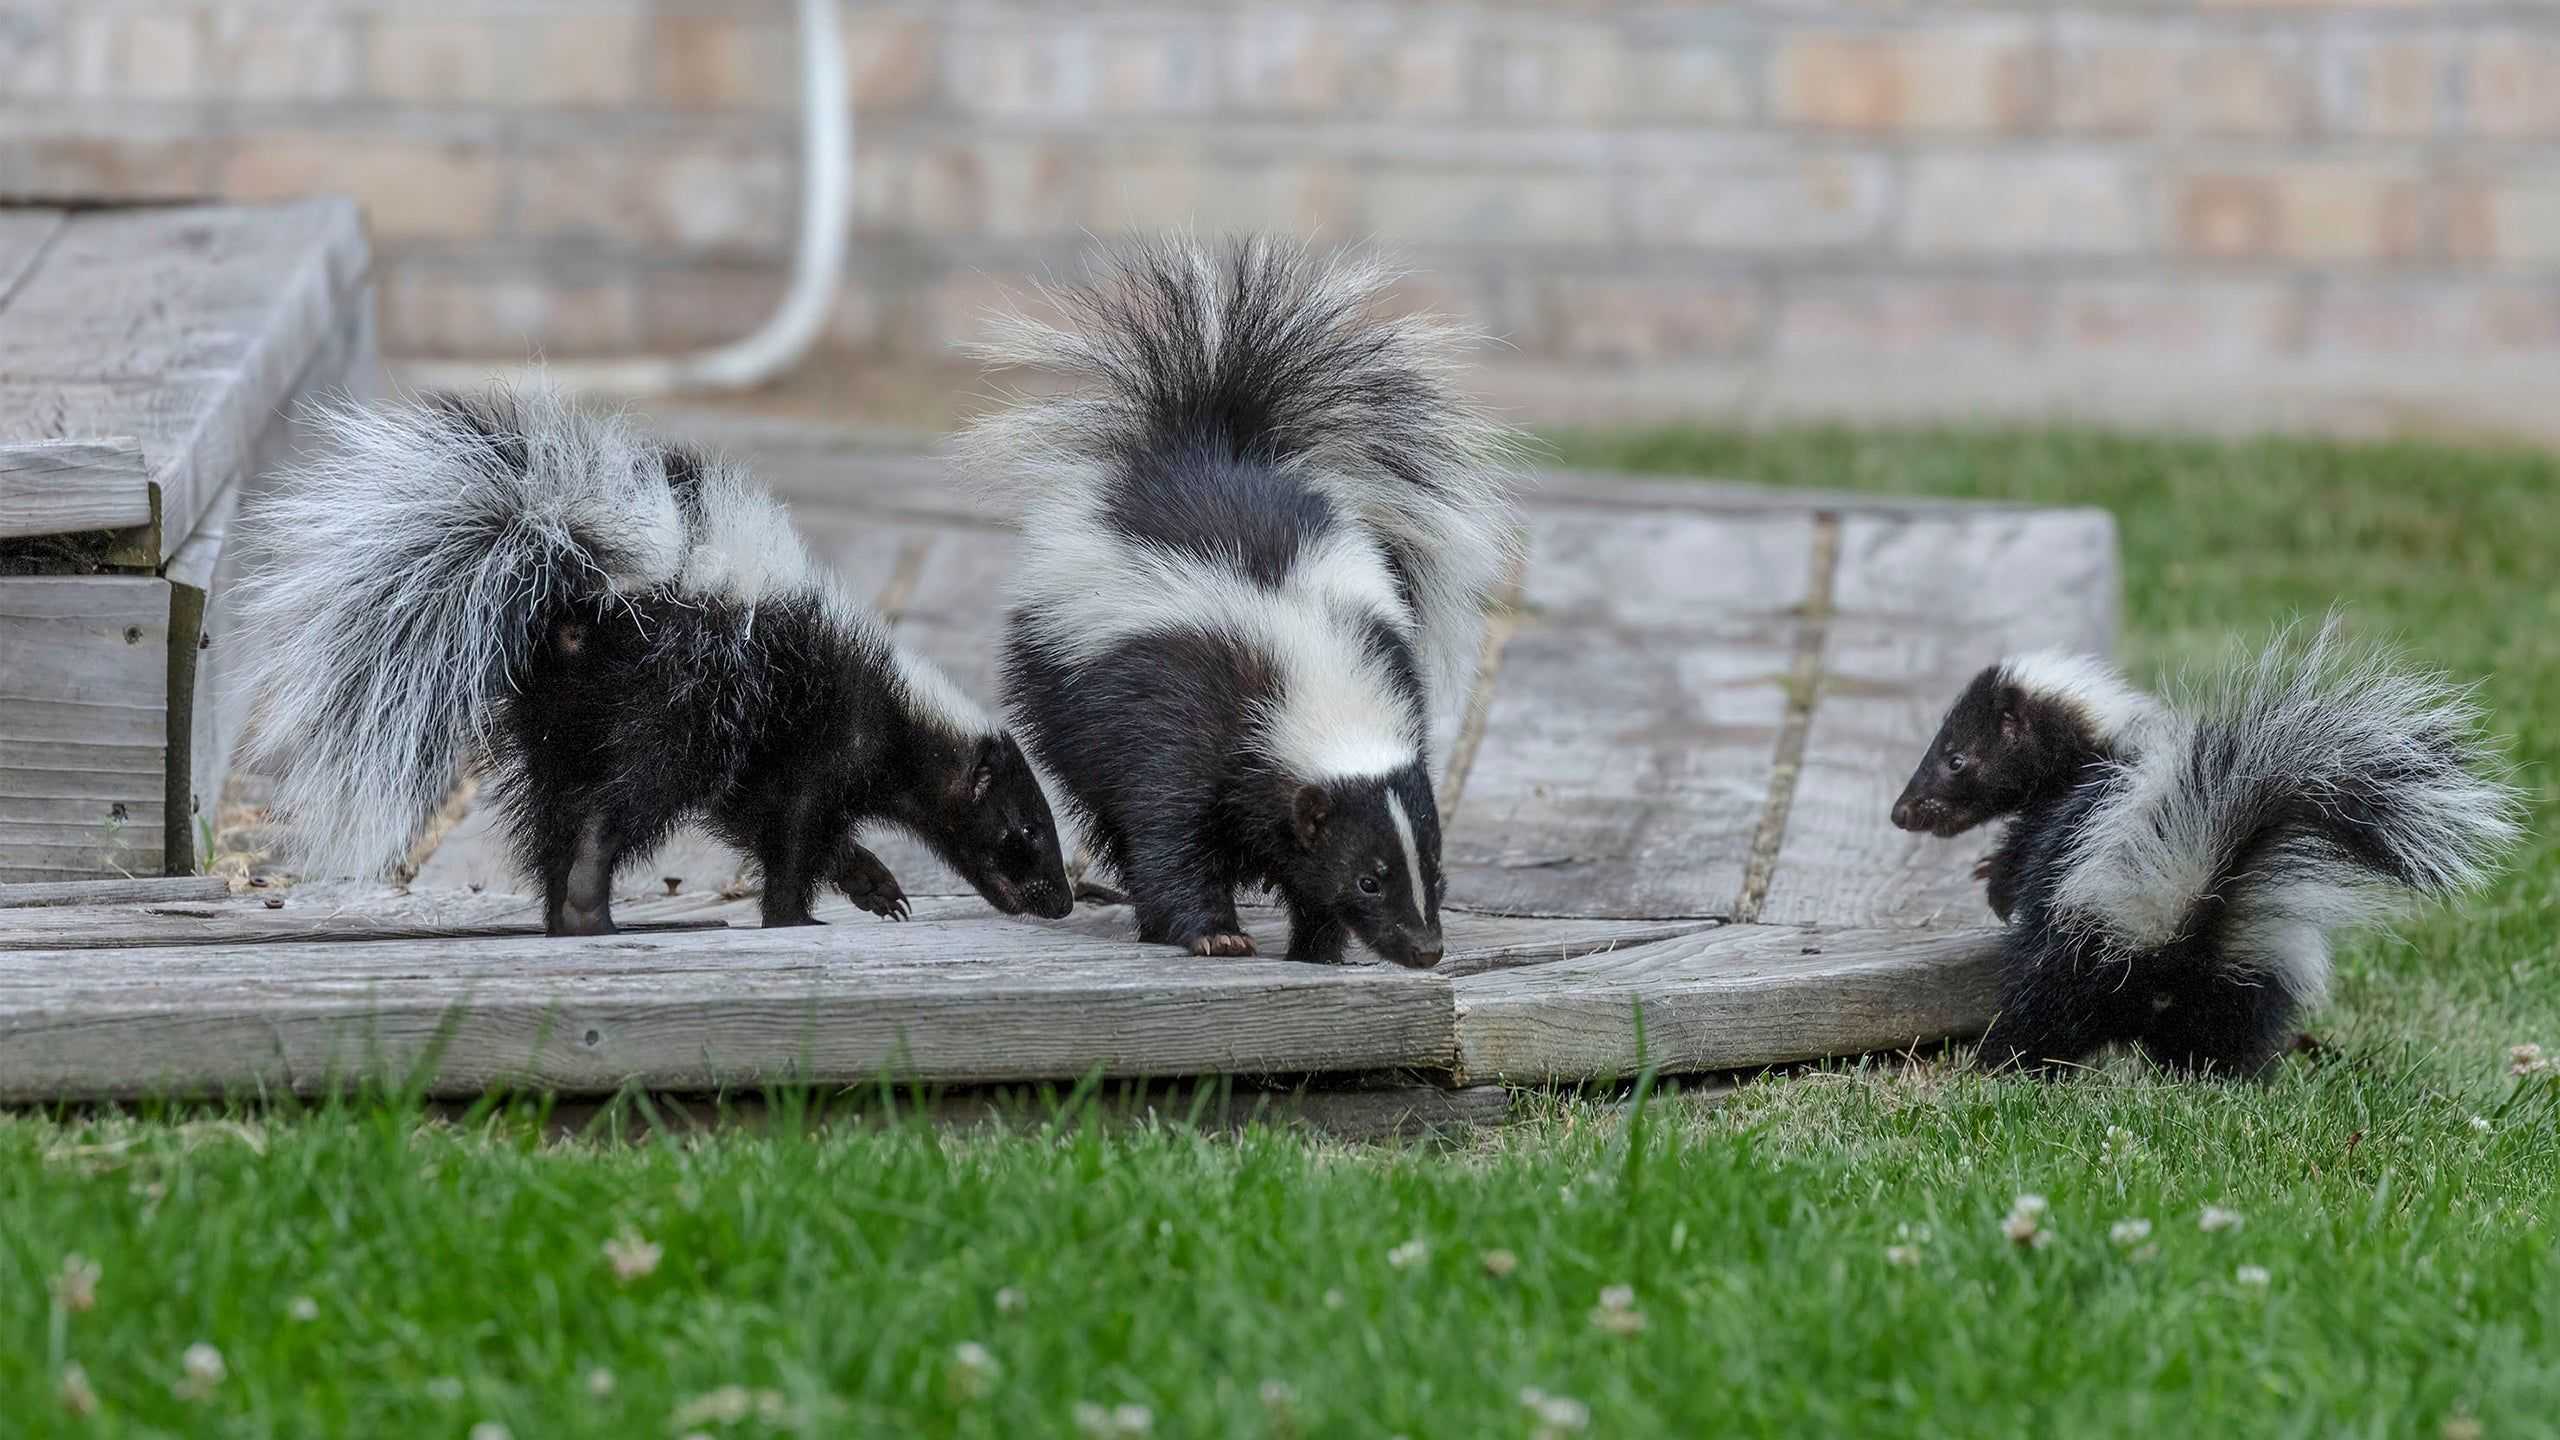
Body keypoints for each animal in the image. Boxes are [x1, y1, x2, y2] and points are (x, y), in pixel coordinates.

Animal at [235, 384, 1075, 932]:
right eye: (1028, 835)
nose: (1061, 899)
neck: (897, 707)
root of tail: (583, 601)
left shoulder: (765, 759)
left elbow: (767, 819)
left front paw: (872, 883)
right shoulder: (817, 736)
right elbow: (795, 832)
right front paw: (794, 918)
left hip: (563, 718)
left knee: (554, 811)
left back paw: (565, 916)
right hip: (674, 701)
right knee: (617, 805)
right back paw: (587, 904)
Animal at [962, 238, 1515, 963]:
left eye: (1437, 869)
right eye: (1368, 878)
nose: (1424, 948)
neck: (1308, 657)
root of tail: (1210, 441)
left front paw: (1317, 946)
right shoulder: (1183, 721)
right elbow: (1170, 831)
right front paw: (1214, 933)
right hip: (1058, 679)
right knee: (1104, 809)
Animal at [1894, 622, 2529, 1071]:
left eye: (1956, 759)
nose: (1902, 812)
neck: (2097, 746)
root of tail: (2184, 924)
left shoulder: (2067, 815)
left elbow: (2025, 861)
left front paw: (1996, 887)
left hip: (2079, 951)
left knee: (2044, 1012)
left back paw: (1999, 1064)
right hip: (2248, 973)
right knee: (2220, 1039)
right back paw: (2212, 1081)